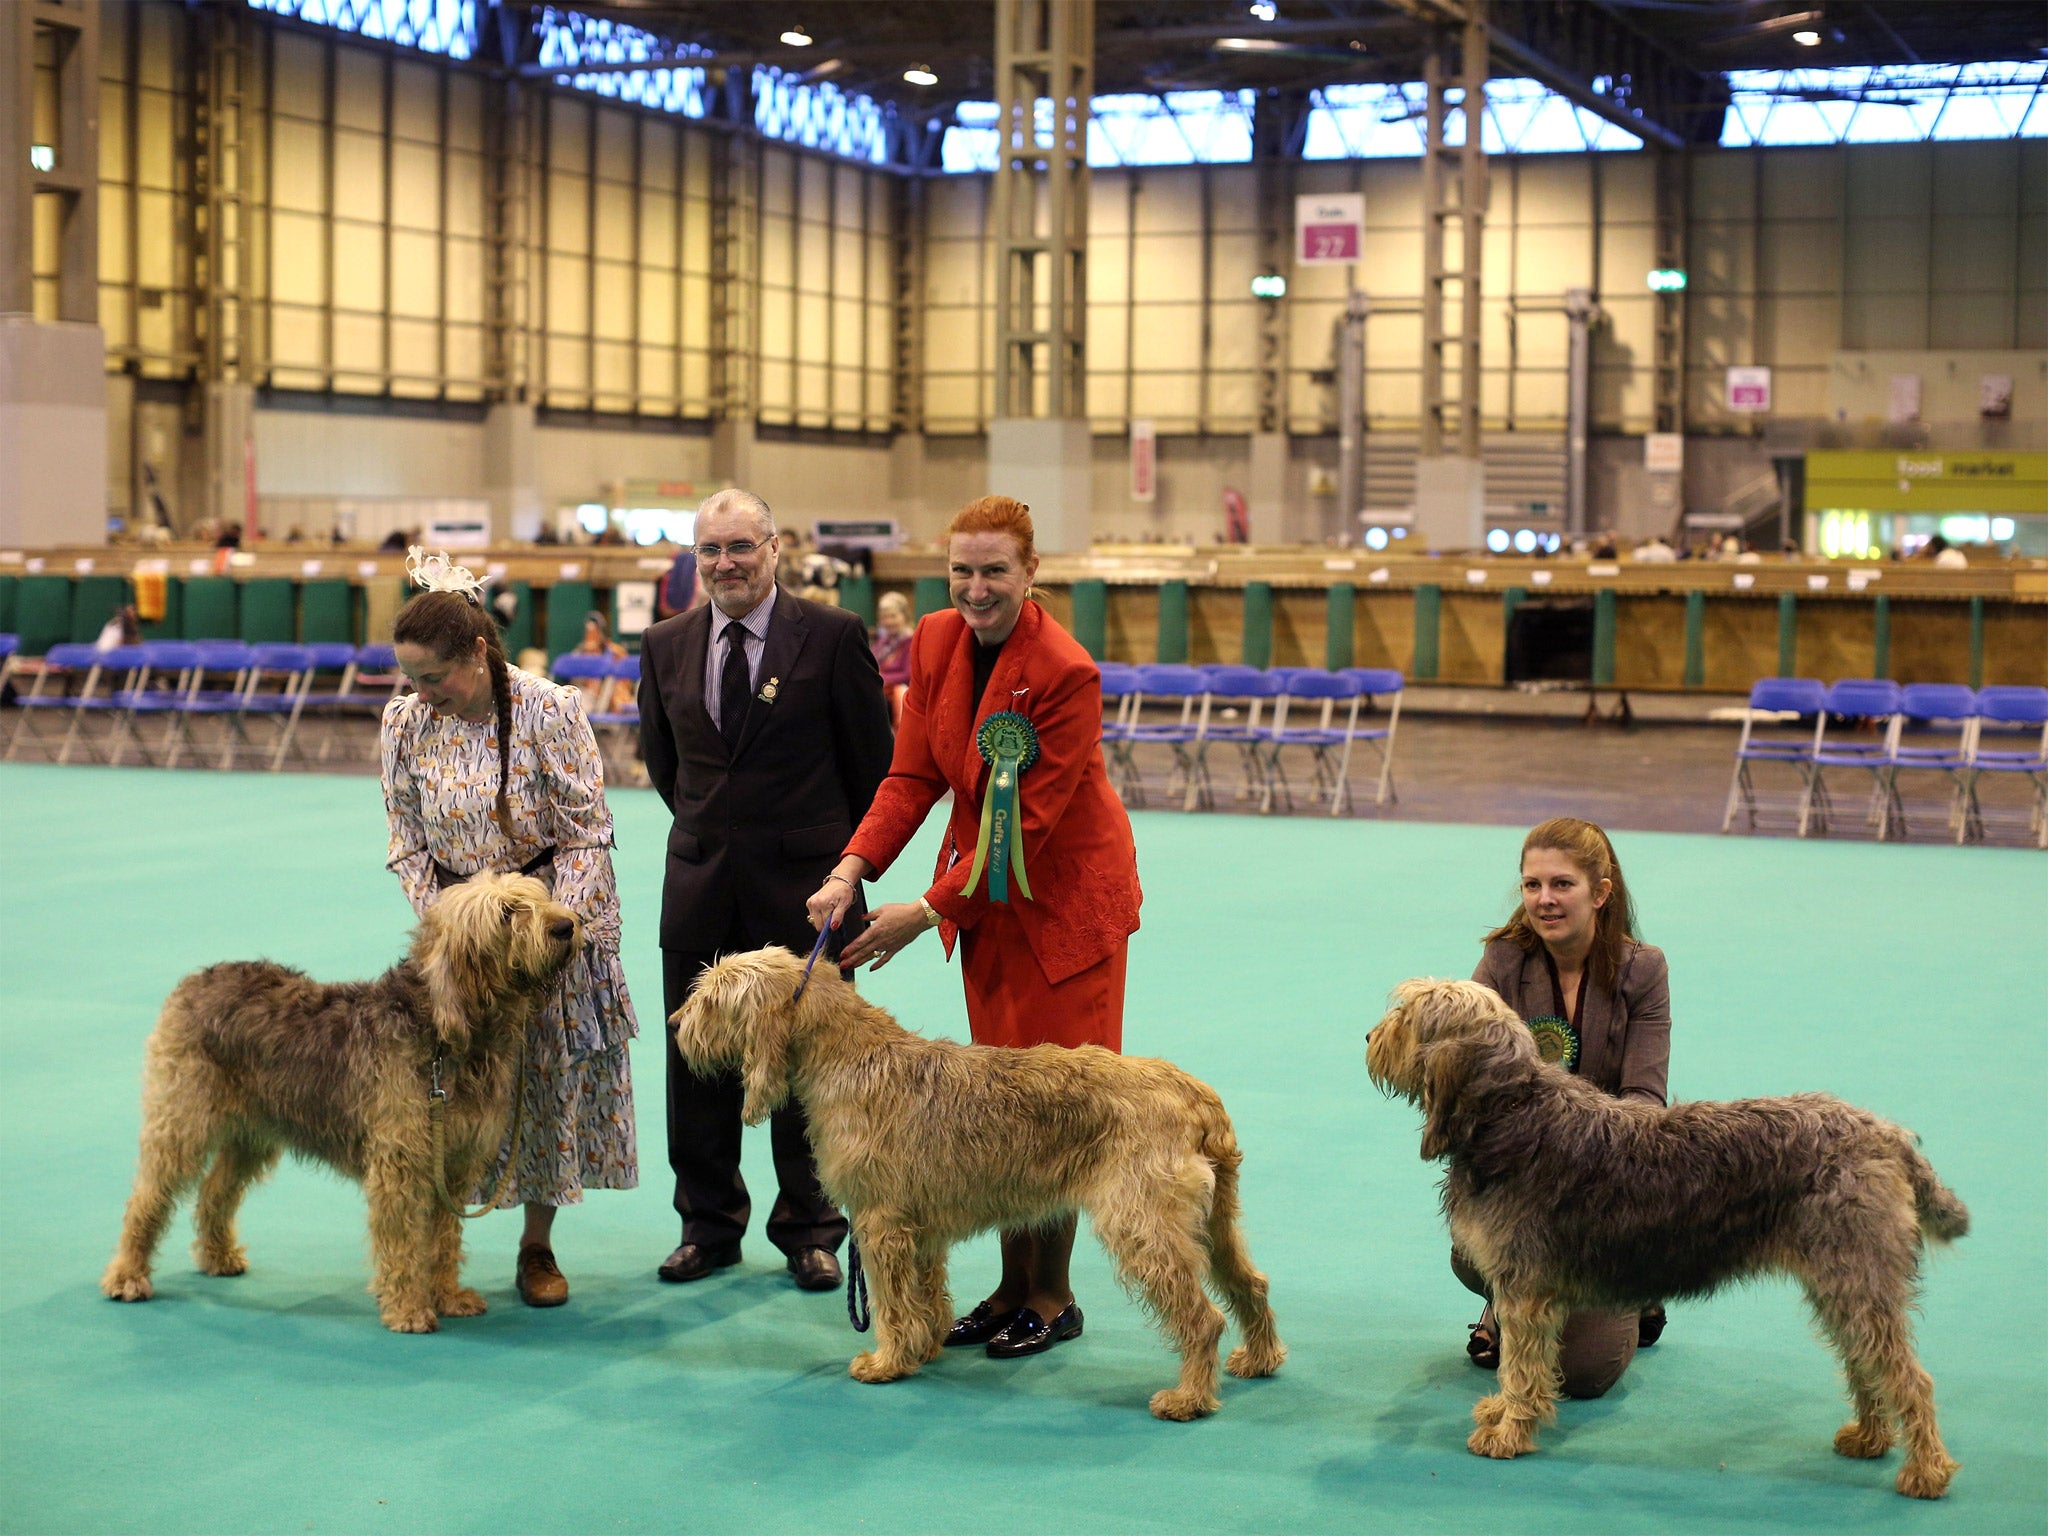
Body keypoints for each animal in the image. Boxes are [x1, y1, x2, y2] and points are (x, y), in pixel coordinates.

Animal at [105, 876, 585, 1335]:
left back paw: (218, 1255)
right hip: (182, 1121)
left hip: (253, 1134)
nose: (566, 926)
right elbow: (403, 1243)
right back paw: (127, 1274)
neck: (445, 1036)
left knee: (214, 1192)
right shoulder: (401, 1168)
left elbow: (443, 1239)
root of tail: (198, 979)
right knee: (147, 1198)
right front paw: (408, 1308)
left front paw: (448, 1295)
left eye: (538, 896)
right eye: (506, 913)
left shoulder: (453, 1166)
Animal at [671, 946, 1277, 1425]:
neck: (848, 1056)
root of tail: (1197, 1095)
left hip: (1145, 1226)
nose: (675, 1022)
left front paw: (885, 1362)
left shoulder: (880, 1222)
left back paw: (1187, 1399)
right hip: (1215, 1222)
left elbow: (891, 1301)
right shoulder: (919, 1227)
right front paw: (924, 1347)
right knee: (1251, 1284)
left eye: (715, 997)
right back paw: (1260, 1359)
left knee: (1203, 1318)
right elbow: (923, 1291)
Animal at [1368, 987, 1974, 1507]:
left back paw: (1926, 1472)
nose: (1370, 1037)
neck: (1510, 1113)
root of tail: (1883, 1134)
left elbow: (1520, 1367)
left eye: (1408, 1013)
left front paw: (1508, 1433)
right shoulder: (1527, 1294)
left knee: (1909, 1377)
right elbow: (1524, 1366)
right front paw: (1502, 1414)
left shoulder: (1525, 1292)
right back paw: (1869, 1438)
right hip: (1841, 1283)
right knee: (1864, 1362)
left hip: (1857, 1279)